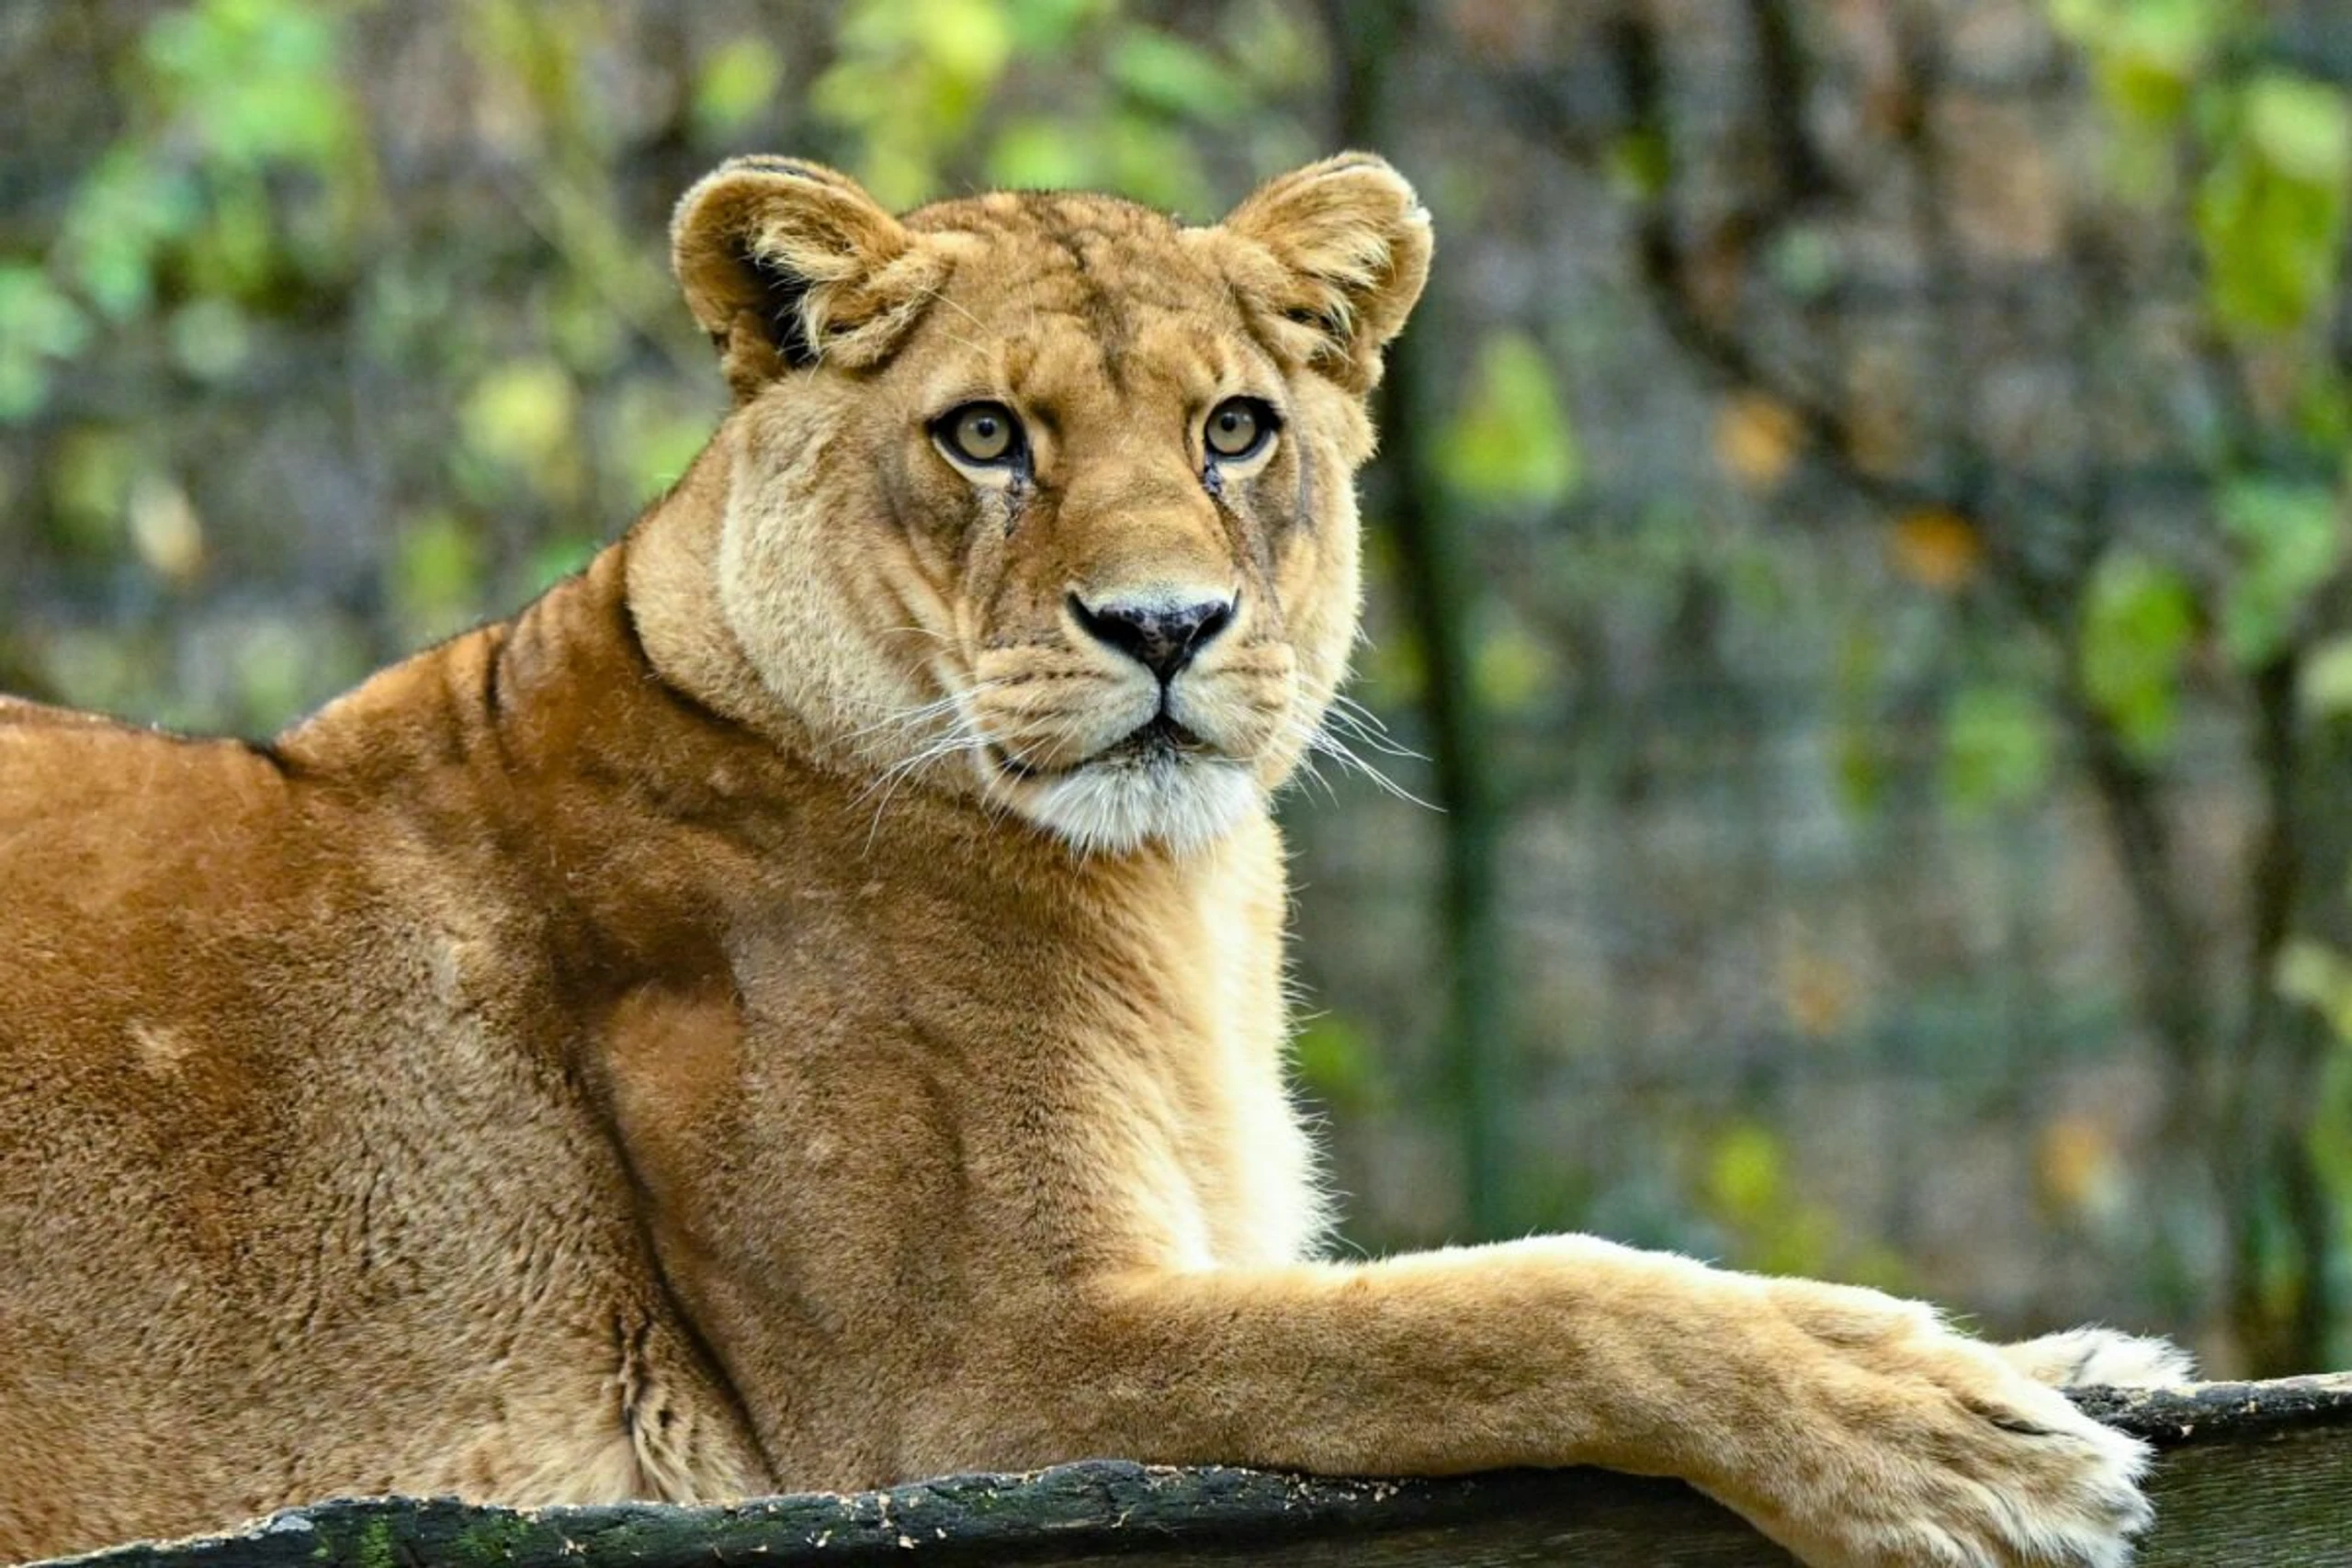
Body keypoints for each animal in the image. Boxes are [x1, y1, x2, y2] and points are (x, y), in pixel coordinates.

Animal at [0, 154, 2187, 1568]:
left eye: (1234, 429)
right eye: (984, 436)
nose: (1163, 627)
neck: (1179, 894)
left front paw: (2055, 1359)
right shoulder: (961, 1376)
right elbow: (1510, 1304)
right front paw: (1933, 1435)